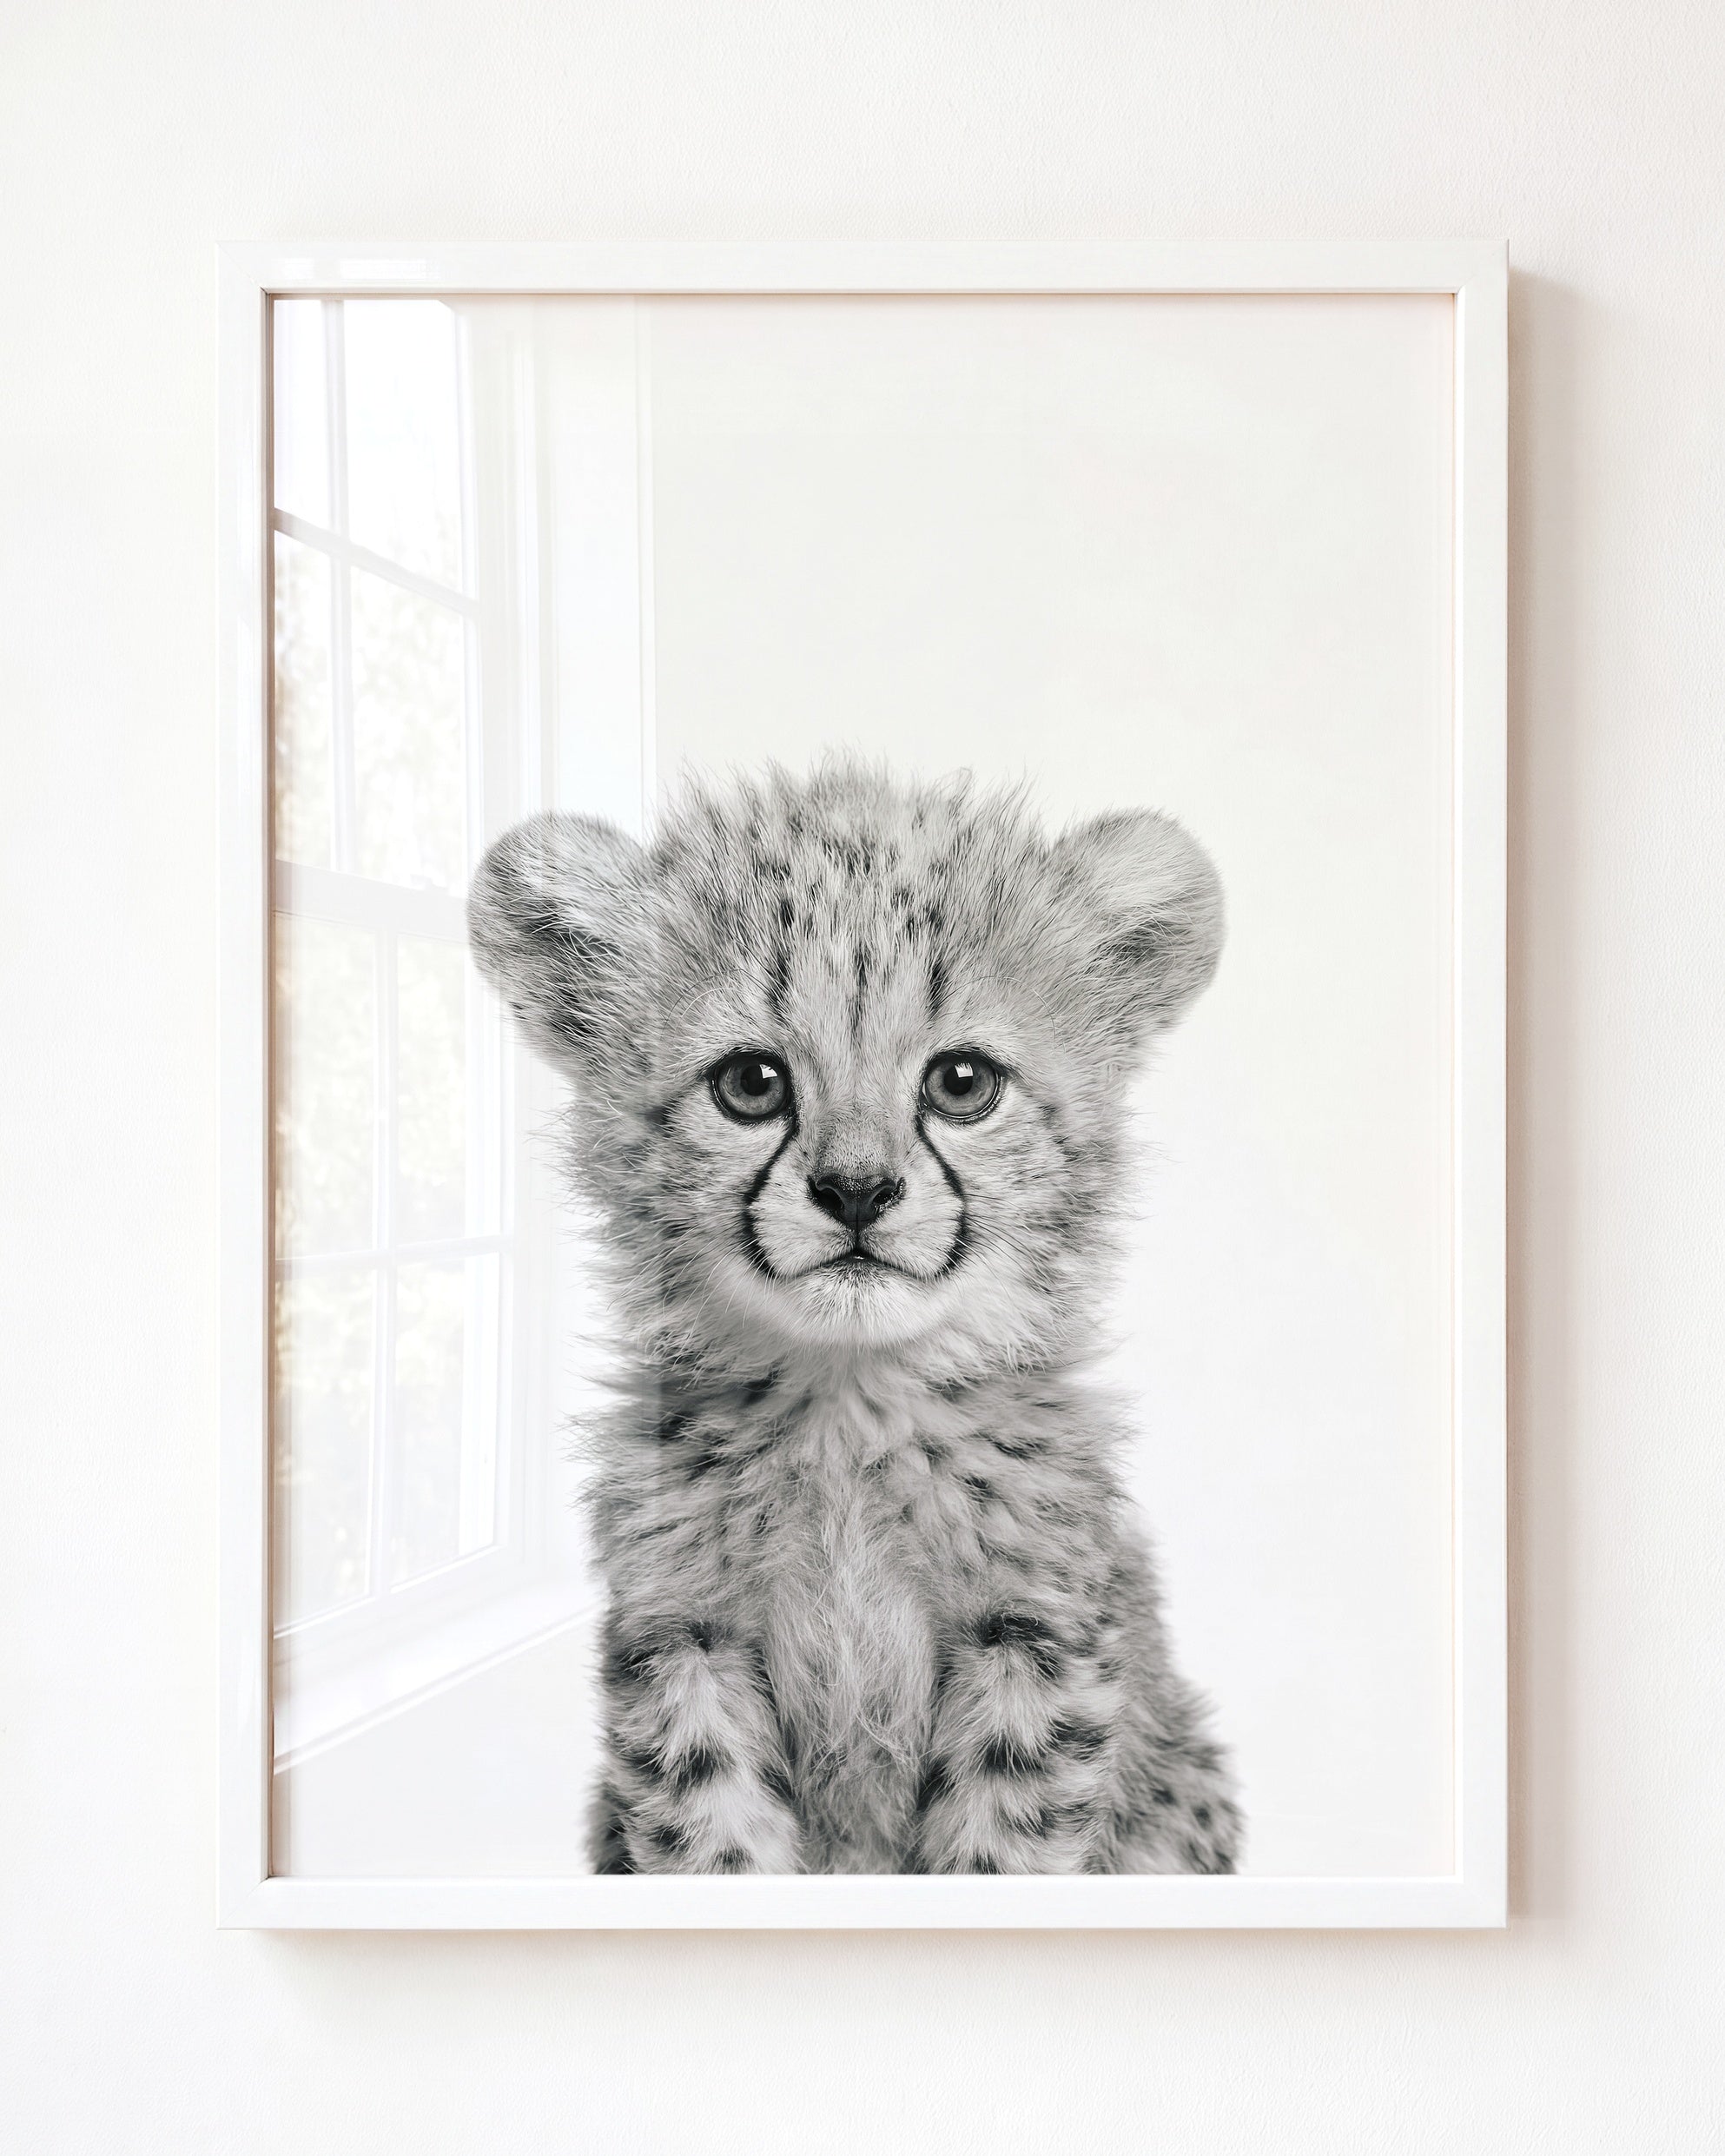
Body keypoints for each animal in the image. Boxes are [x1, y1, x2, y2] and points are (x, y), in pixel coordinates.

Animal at [468, 759, 1242, 1874]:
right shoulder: (684, 1638)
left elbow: (1000, 1847)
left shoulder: (1036, 1638)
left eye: (962, 1082)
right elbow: (715, 1839)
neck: (848, 1405)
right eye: (751, 1083)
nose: (857, 1191)